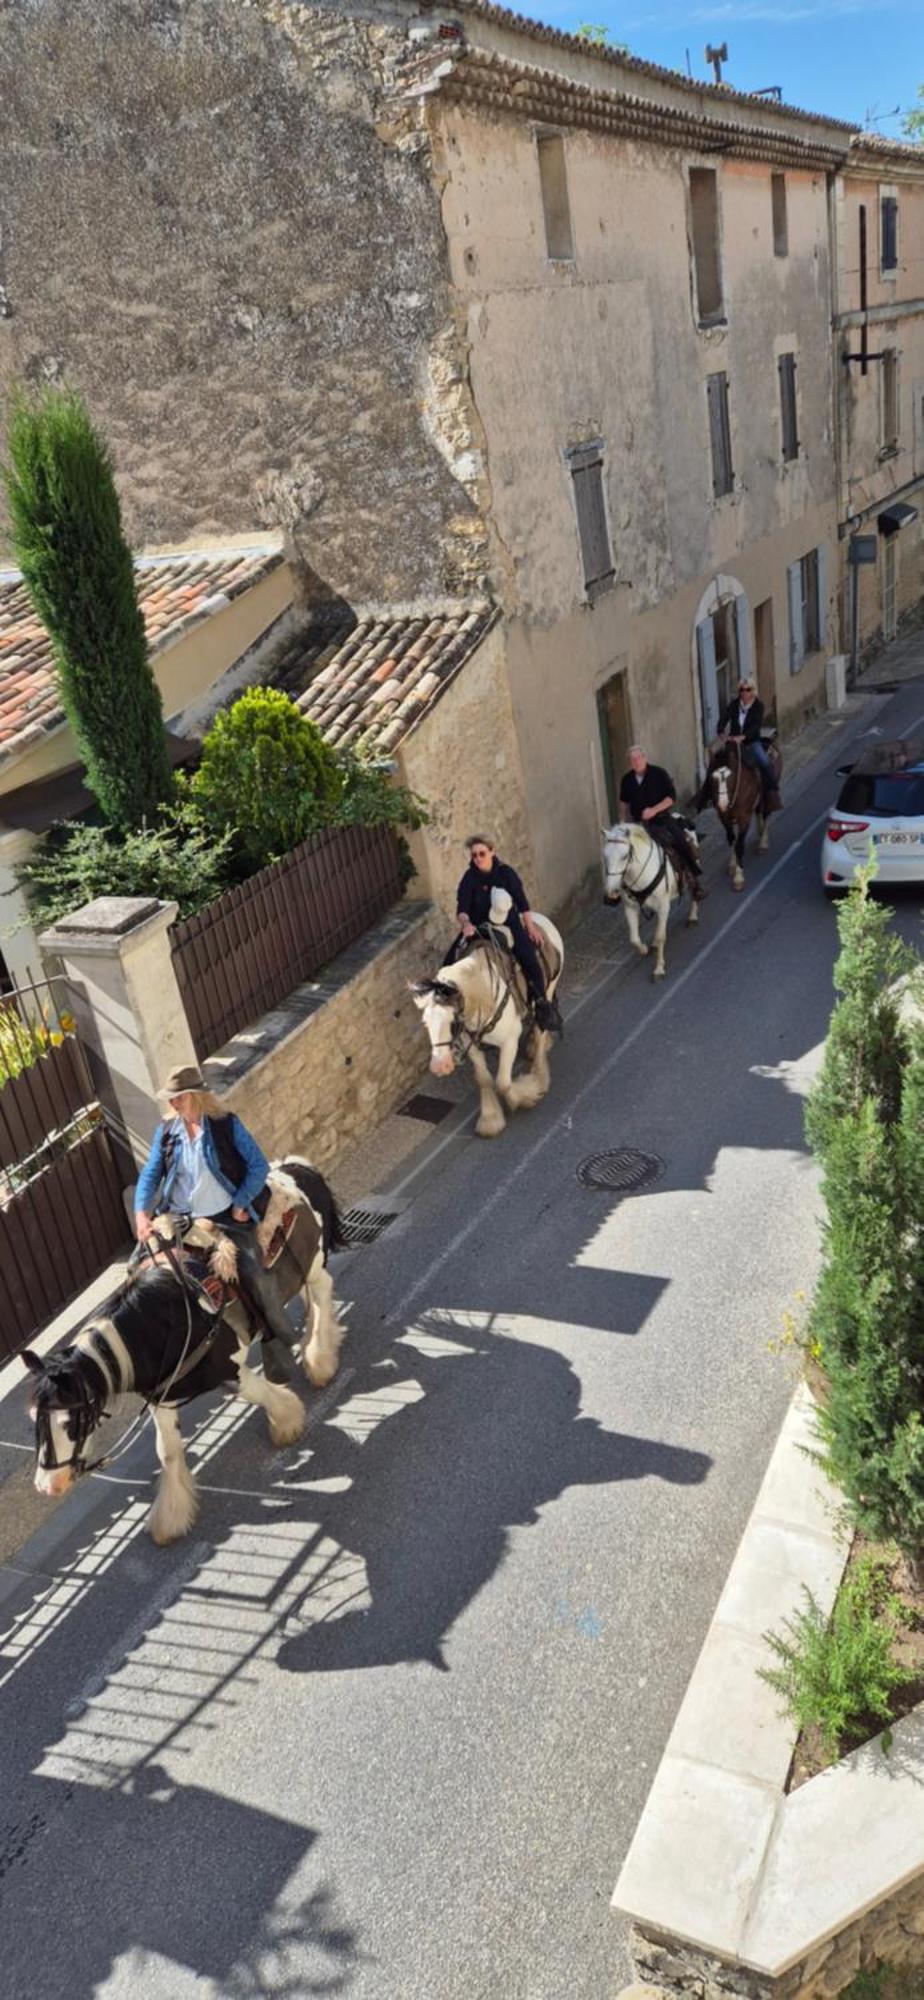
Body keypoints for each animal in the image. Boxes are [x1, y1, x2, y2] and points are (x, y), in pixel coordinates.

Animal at [414, 892, 564, 1144]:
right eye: (426, 1023)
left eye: (451, 1020)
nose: (439, 1066)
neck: (484, 994)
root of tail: (538, 918)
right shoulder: (472, 1045)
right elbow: (484, 1079)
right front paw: (491, 1119)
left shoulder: (509, 1040)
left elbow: (502, 1082)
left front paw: (526, 1094)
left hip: (548, 988)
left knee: (540, 1026)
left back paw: (539, 1072)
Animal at [600, 820, 700, 984]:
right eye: (605, 857)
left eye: (624, 856)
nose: (611, 895)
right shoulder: (630, 907)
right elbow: (634, 939)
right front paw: (644, 949)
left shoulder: (663, 906)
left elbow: (660, 937)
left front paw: (658, 969)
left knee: (694, 891)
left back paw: (693, 916)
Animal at [708, 736, 780, 892]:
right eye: (713, 779)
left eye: (730, 778)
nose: (722, 803)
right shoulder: (724, 817)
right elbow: (731, 840)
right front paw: (732, 864)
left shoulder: (744, 818)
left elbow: (739, 845)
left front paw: (738, 877)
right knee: (759, 813)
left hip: (767, 796)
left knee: (765, 815)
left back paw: (763, 843)